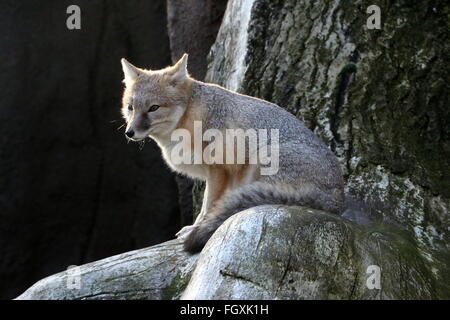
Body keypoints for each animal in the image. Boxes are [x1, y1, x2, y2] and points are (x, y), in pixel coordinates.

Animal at [119, 53, 344, 252]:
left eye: (153, 108)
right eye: (130, 108)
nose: (130, 133)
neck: (189, 115)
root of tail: (337, 195)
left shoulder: (219, 169)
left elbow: (208, 206)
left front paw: (195, 228)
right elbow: (212, 207)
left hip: (262, 159)